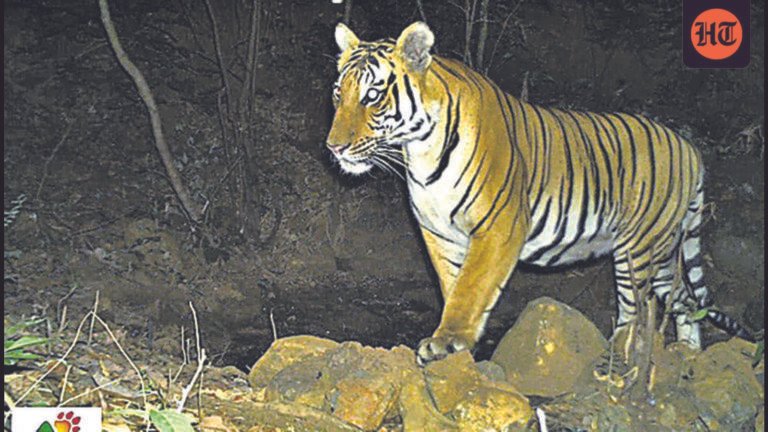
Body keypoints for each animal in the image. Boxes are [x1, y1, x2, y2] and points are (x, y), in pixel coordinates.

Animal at [325, 21, 752, 364]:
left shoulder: (498, 227)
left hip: (638, 249)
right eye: (337, 94)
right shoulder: (438, 233)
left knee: (638, 308)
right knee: (683, 299)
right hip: (662, 251)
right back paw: (688, 354)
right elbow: (452, 285)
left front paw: (447, 342)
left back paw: (619, 355)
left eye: (372, 96)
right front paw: (458, 343)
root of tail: (688, 146)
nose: (334, 148)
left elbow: (471, 287)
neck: (419, 151)